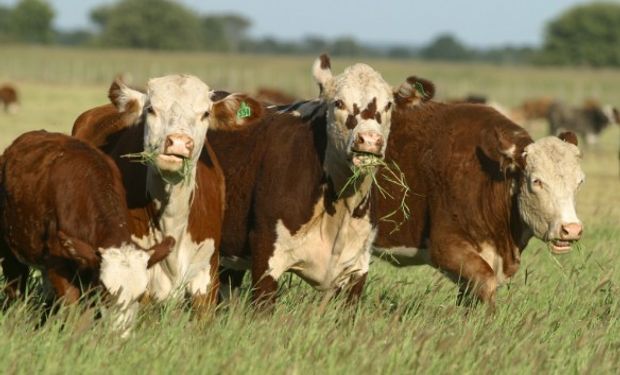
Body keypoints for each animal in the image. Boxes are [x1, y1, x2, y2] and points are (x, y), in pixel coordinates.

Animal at [1, 131, 174, 334]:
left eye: (140, 295)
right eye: (106, 291)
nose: (119, 334)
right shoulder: (57, 263)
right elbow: (71, 309)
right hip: (9, 252)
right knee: (15, 291)